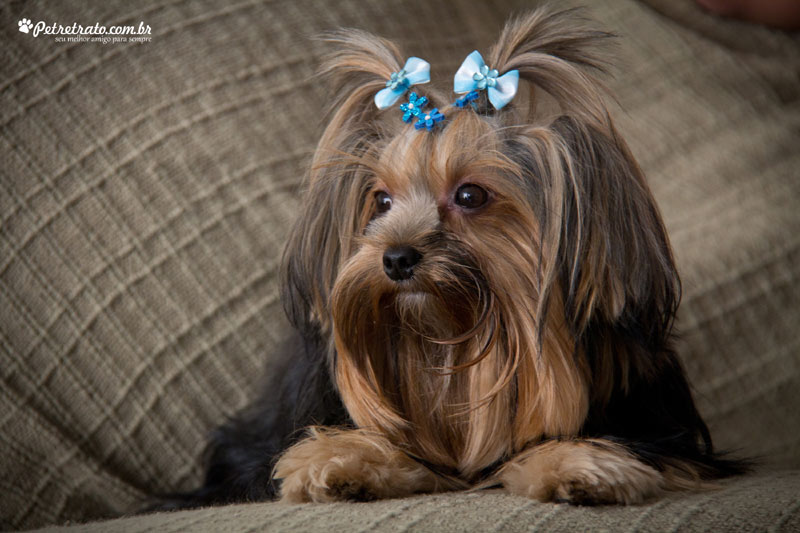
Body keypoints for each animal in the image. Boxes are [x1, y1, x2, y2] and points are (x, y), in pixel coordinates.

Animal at [166, 7, 748, 508]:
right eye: (381, 201)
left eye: (470, 195)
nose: (396, 258)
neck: (445, 350)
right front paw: (341, 457)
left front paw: (575, 462)